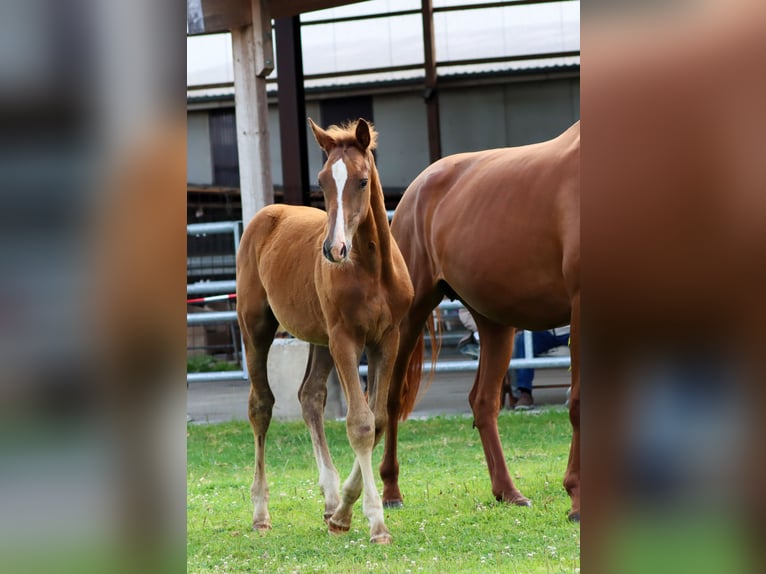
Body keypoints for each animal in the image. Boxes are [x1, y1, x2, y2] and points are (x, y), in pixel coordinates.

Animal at [237, 120, 414, 544]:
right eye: (321, 181)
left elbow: (378, 420)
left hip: (319, 339)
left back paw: (331, 499)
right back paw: (261, 512)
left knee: (310, 397)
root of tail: (266, 214)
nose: (334, 250)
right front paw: (375, 522)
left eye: (363, 181)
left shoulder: (387, 339)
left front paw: (343, 513)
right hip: (257, 328)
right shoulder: (346, 340)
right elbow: (359, 423)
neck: (372, 271)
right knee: (261, 406)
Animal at [384, 124, 584, 524]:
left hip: (494, 325)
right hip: (409, 318)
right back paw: (391, 491)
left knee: (484, 402)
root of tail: (416, 189)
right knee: (391, 397)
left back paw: (507, 492)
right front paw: (578, 500)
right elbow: (580, 404)